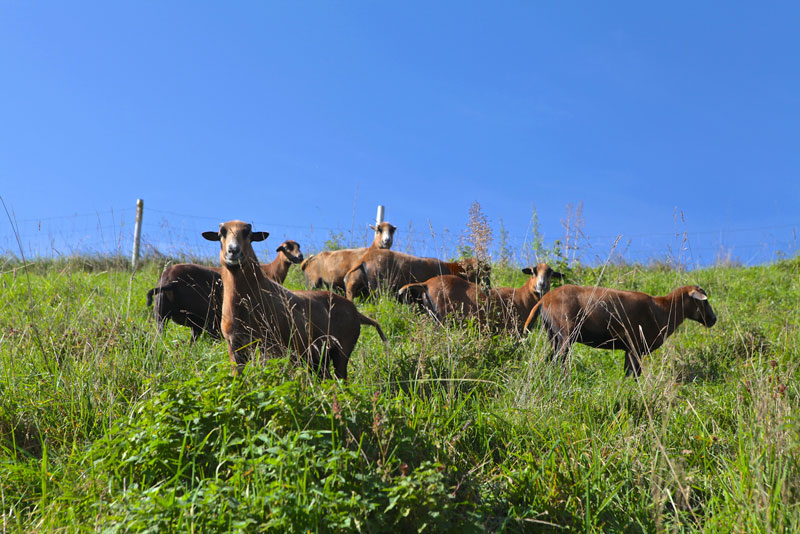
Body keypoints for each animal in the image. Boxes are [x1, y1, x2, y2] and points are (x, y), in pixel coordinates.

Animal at [202, 222, 386, 382]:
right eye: (220, 234)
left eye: (248, 234)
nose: (233, 251)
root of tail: (356, 312)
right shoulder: (234, 345)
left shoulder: (270, 347)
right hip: (318, 357)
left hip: (342, 351)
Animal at [396, 262, 560, 332]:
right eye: (533, 271)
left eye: (551, 273)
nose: (541, 285)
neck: (523, 296)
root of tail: (426, 284)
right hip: (443, 317)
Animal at [524, 284, 720, 376]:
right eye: (704, 301)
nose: (713, 319)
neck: (664, 309)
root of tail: (544, 300)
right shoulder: (636, 346)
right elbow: (635, 373)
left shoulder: (630, 348)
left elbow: (628, 373)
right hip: (566, 333)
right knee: (559, 360)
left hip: (553, 335)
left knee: (550, 359)